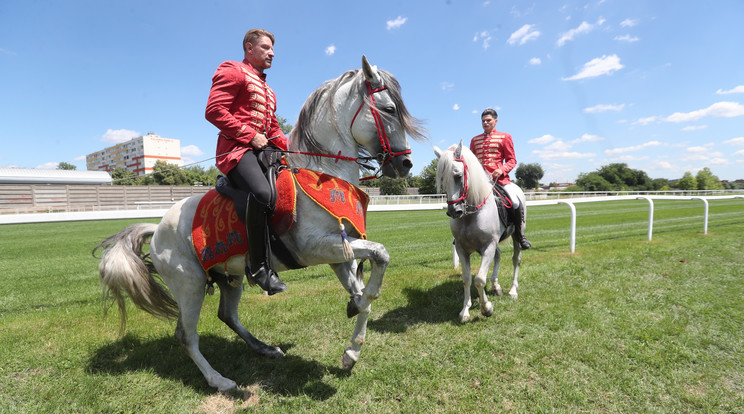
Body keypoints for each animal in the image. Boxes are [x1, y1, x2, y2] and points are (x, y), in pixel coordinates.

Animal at [94, 57, 424, 392]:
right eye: (388, 109)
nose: (406, 163)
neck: (321, 172)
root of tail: (158, 228)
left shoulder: (340, 254)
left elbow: (366, 289)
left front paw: (351, 349)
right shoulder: (317, 248)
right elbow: (381, 254)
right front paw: (357, 308)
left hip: (230, 277)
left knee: (227, 315)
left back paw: (265, 349)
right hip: (190, 286)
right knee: (186, 335)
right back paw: (220, 380)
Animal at [434, 142, 520, 324]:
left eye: (458, 176)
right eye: (442, 179)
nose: (454, 211)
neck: (470, 215)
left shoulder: (488, 246)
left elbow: (479, 279)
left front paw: (486, 308)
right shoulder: (462, 249)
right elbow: (467, 278)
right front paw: (465, 310)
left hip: (517, 236)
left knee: (516, 259)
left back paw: (512, 291)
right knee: (498, 255)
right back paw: (496, 286)